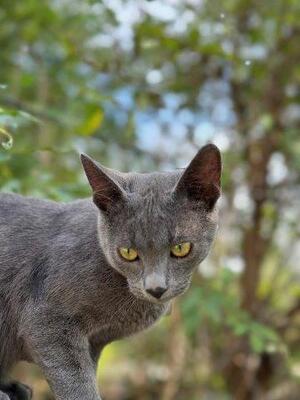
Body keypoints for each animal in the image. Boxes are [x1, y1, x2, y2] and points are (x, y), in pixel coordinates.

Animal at [0, 142, 220, 398]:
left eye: (181, 248)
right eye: (127, 252)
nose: (155, 288)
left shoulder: (94, 341)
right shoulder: (46, 320)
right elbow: (76, 382)